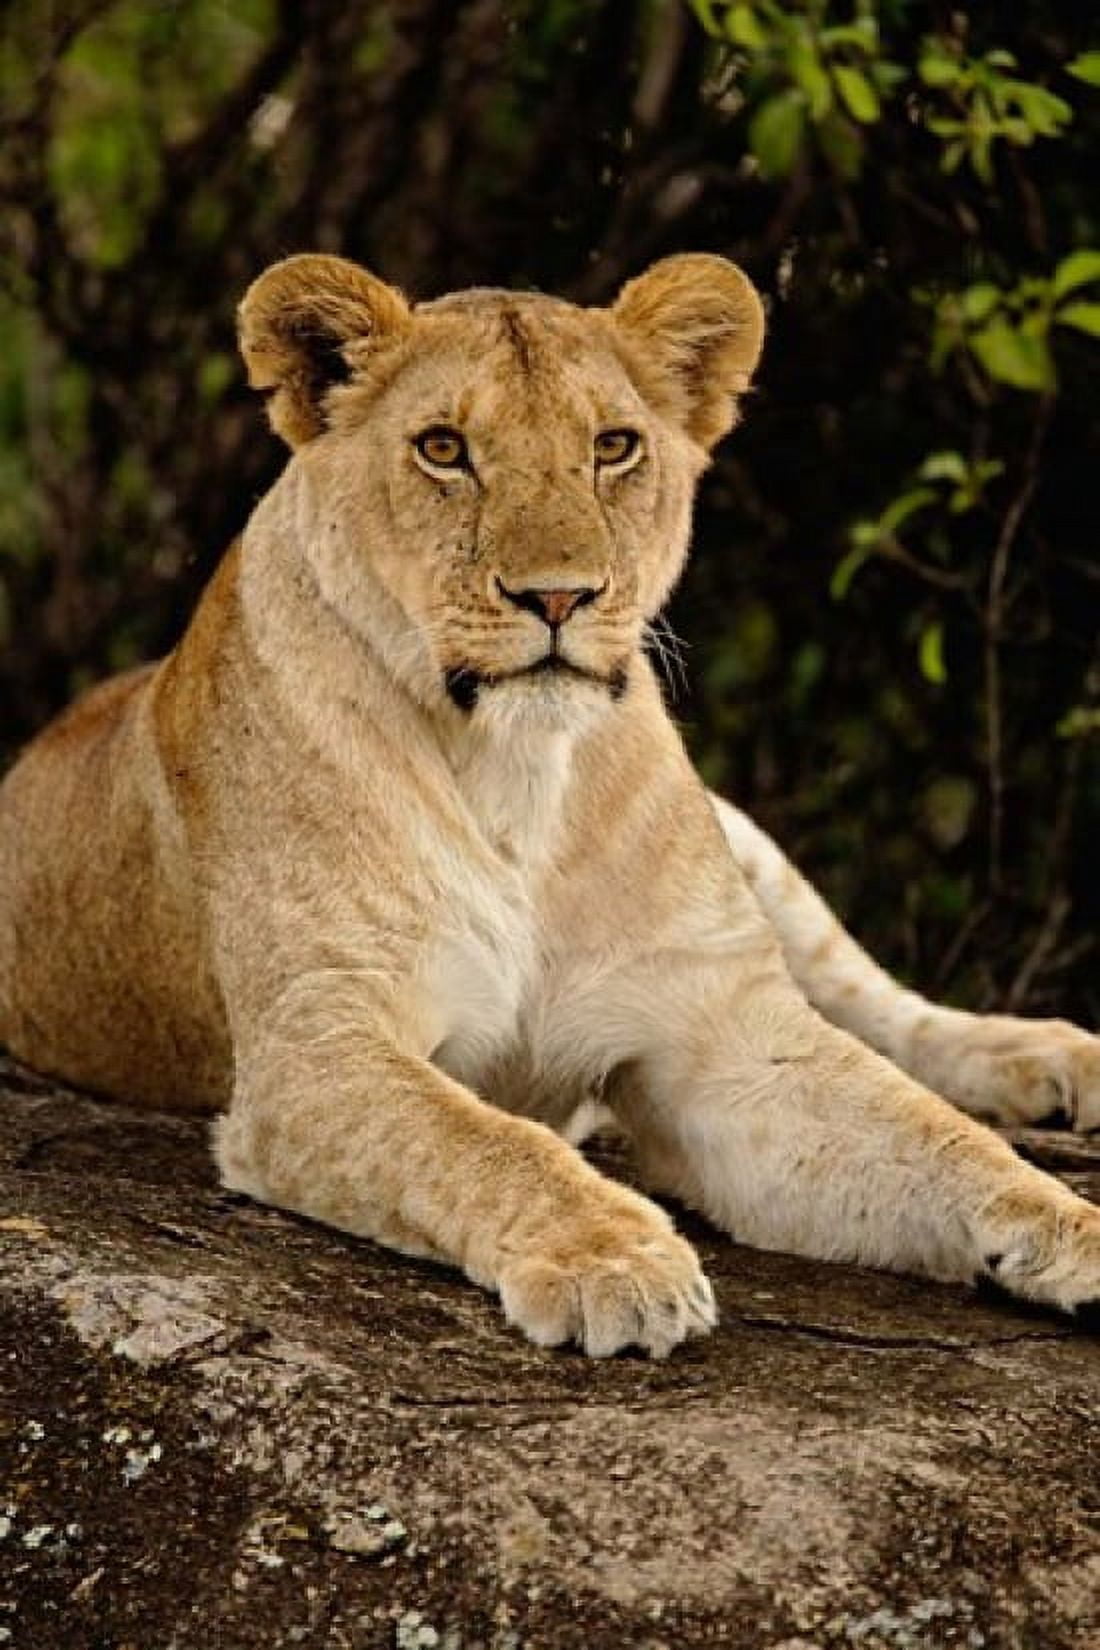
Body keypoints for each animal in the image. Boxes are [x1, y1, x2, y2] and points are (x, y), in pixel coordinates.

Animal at [1, 252, 1098, 1357]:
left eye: (612, 447)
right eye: (443, 449)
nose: (559, 596)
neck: (516, 772)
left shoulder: (720, 1035)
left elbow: (935, 1136)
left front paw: (1073, 1228)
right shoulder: (316, 1047)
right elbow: (481, 1139)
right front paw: (611, 1260)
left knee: (876, 1008)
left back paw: (1048, 1058)